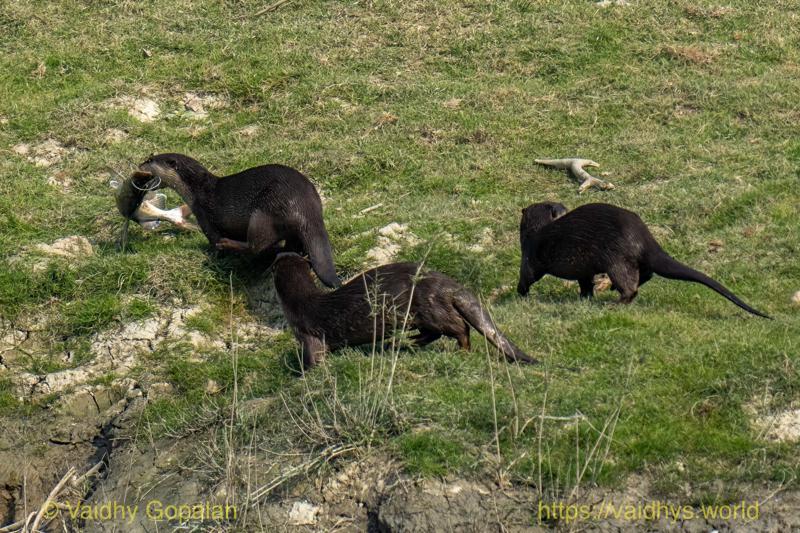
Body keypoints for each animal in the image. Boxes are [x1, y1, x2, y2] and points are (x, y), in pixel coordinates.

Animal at [132, 153, 340, 287]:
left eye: (150, 160)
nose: (138, 165)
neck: (197, 190)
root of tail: (305, 205)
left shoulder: (204, 216)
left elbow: (213, 239)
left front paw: (215, 254)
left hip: (263, 214)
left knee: (256, 245)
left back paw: (230, 244)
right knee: (291, 245)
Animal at [273, 253, 538, 368]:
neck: (300, 301)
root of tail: (449, 285)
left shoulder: (307, 332)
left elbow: (314, 357)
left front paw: (303, 373)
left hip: (430, 308)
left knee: (459, 327)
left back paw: (460, 350)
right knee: (433, 334)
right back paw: (400, 343)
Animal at [518, 202, 770, 318]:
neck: (537, 231)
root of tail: (644, 237)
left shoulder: (529, 254)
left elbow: (527, 277)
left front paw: (520, 295)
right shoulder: (583, 269)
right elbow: (585, 282)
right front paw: (584, 298)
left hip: (615, 258)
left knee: (630, 286)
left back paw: (615, 302)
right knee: (646, 274)